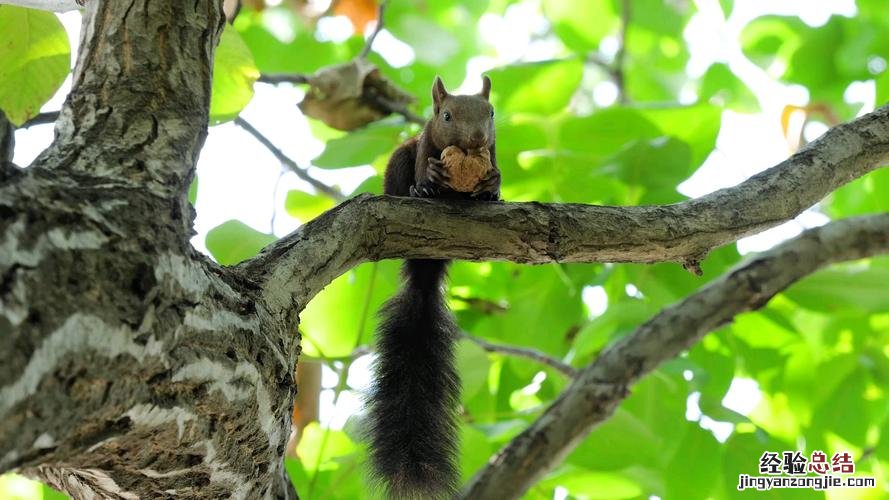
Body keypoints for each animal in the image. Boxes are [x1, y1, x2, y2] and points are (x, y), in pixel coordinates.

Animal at [362, 75, 500, 500]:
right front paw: (429, 184)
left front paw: (492, 185)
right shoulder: (424, 142)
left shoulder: (494, 150)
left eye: (491, 113)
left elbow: (497, 171)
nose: (475, 139)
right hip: (398, 163)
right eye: (447, 116)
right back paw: (416, 193)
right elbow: (425, 161)